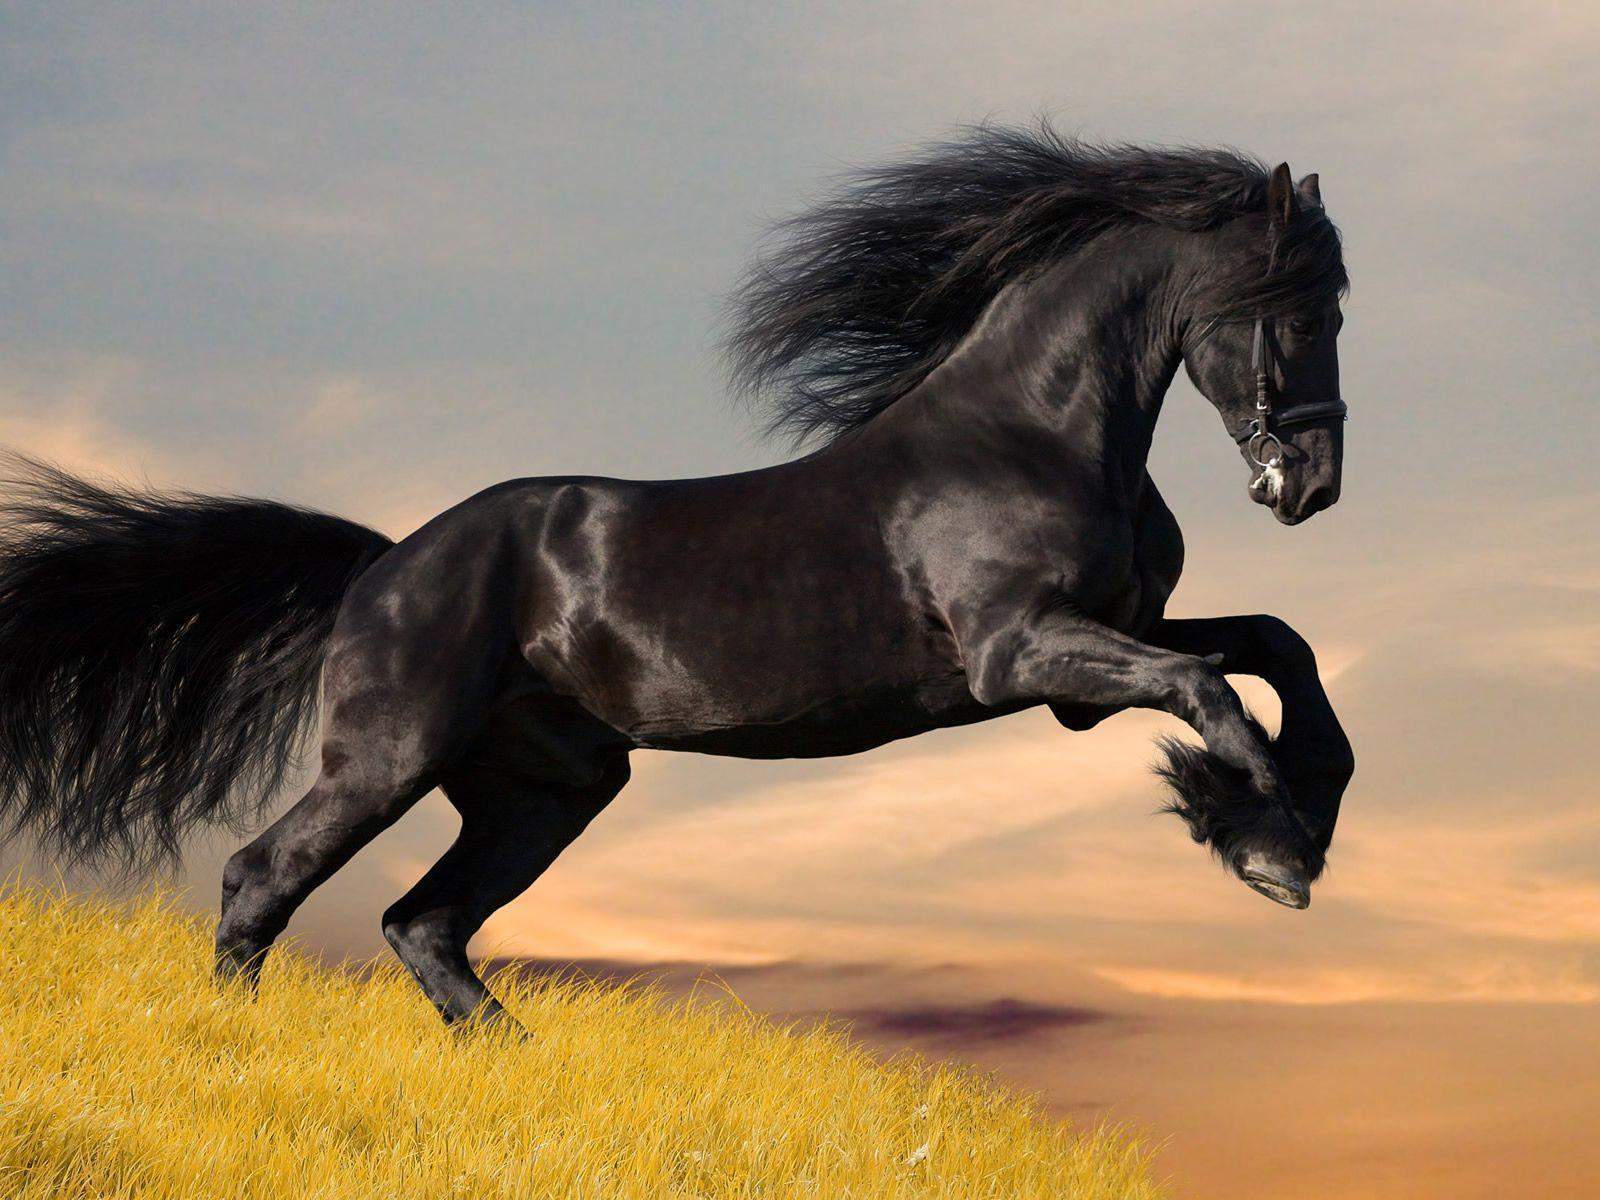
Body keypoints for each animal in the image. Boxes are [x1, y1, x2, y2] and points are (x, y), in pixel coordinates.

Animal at [0, 124, 1354, 1031]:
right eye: (1301, 311)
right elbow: (1209, 689)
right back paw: (230, 1042)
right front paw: (1268, 851)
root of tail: (384, 566)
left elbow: (1275, 649)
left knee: (421, 923)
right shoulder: (1020, 653)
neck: (1028, 432)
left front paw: (1289, 822)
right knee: (263, 880)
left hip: (545, 788)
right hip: (389, 756)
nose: (1313, 484)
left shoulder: (1096, 654)